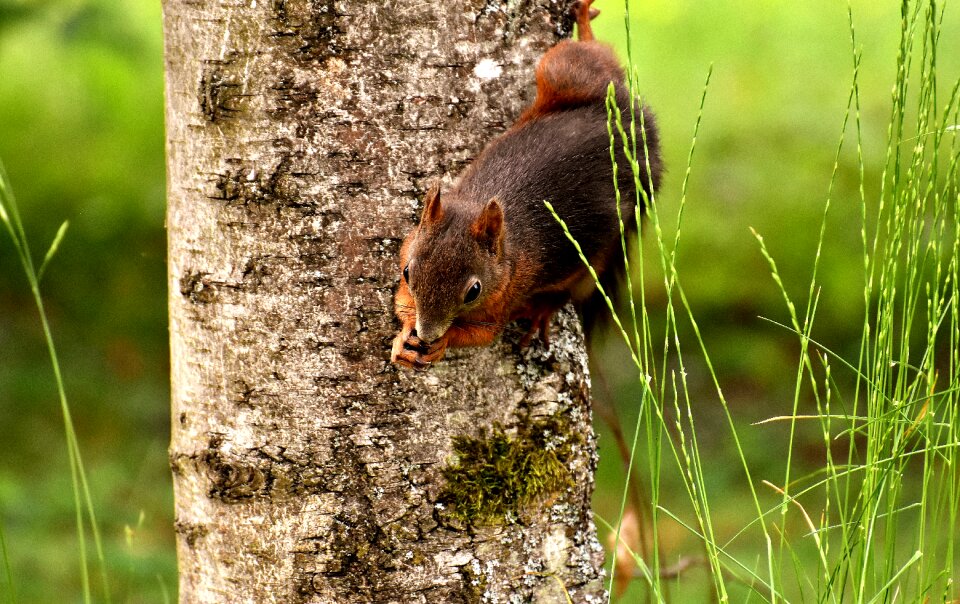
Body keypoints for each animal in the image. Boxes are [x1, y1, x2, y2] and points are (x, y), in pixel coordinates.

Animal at [390, 0, 660, 368]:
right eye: (406, 272)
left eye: (473, 291)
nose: (427, 334)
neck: (507, 249)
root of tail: (636, 131)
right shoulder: (410, 243)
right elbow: (401, 302)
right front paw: (404, 338)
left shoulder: (507, 294)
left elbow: (482, 335)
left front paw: (442, 343)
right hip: (569, 74)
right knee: (597, 64)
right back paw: (585, 21)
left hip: (601, 251)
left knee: (576, 285)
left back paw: (540, 312)